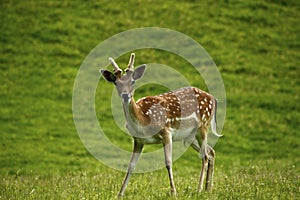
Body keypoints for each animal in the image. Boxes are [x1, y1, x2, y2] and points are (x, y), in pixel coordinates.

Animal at [99, 52, 221, 197]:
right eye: (116, 83)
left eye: (132, 82)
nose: (125, 95)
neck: (143, 121)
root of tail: (213, 99)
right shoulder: (138, 140)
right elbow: (131, 165)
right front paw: (120, 193)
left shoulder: (166, 131)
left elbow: (168, 162)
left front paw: (174, 192)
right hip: (189, 136)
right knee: (211, 151)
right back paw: (209, 189)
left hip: (203, 126)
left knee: (205, 155)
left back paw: (199, 189)